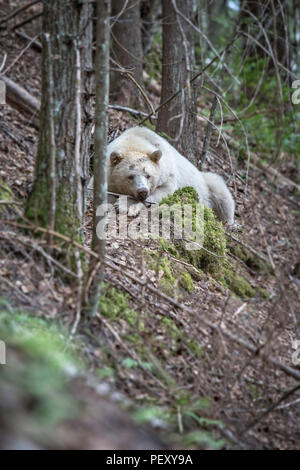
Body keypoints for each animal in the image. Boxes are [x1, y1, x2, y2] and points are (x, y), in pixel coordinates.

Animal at [90, 127, 236, 225]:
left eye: (148, 175)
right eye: (130, 176)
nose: (143, 191)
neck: (134, 142)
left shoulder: (167, 173)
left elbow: (165, 192)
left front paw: (126, 205)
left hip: (207, 184)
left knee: (222, 197)